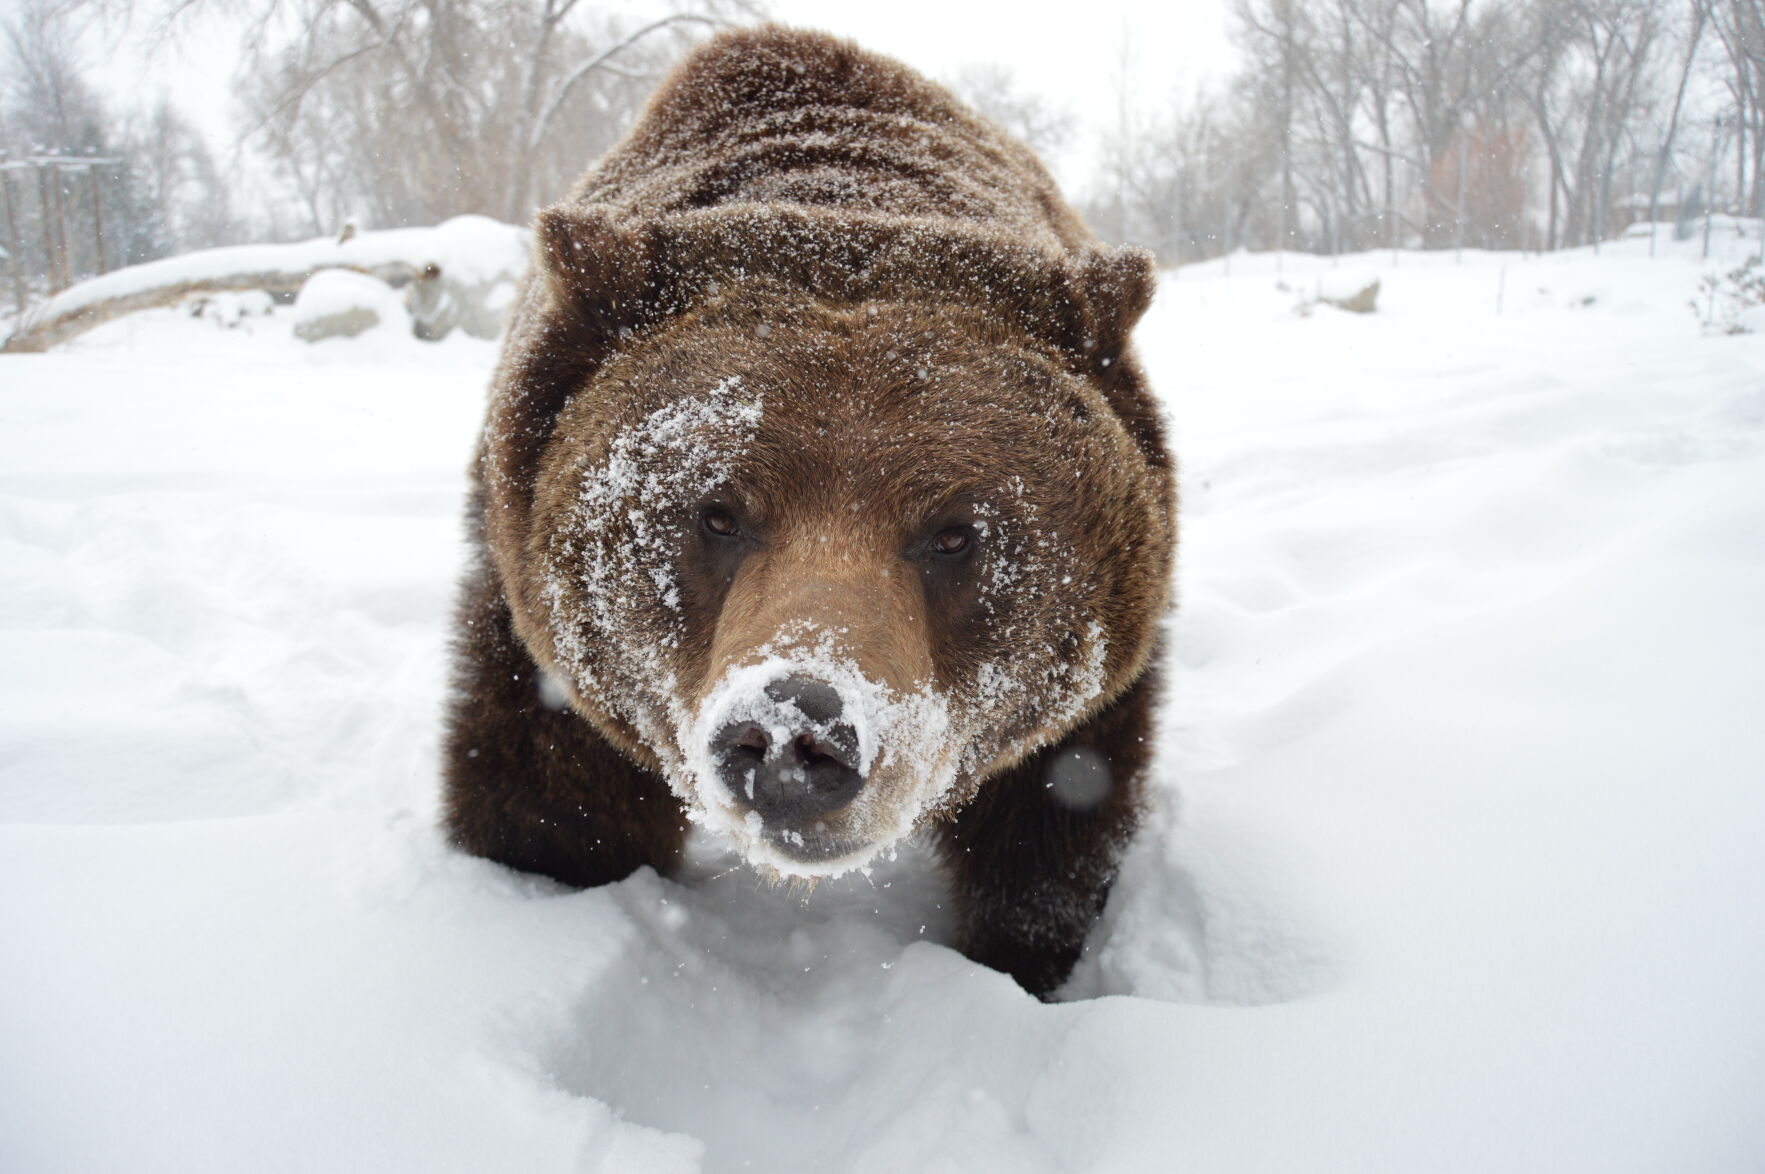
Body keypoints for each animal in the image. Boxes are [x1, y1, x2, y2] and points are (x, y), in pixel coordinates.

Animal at [441, 25, 1171, 995]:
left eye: (953, 533)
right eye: (717, 513)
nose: (794, 732)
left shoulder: (1092, 693)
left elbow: (1051, 833)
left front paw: (1021, 961)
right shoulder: (529, 627)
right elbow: (545, 808)